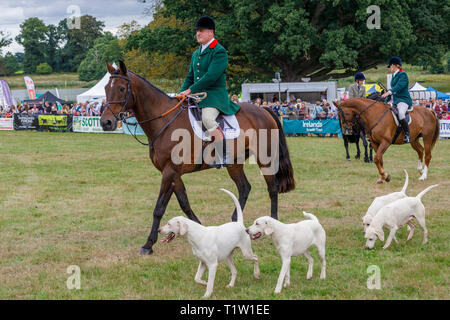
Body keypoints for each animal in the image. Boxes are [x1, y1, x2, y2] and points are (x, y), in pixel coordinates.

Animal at [100, 60, 296, 255]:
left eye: (121, 88)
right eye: (105, 88)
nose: (105, 122)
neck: (164, 122)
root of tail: (263, 109)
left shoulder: (170, 171)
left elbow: (159, 208)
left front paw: (148, 244)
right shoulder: (172, 173)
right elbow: (184, 202)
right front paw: (199, 227)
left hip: (265, 158)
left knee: (272, 188)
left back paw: (272, 222)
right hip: (234, 163)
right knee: (244, 187)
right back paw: (234, 221)